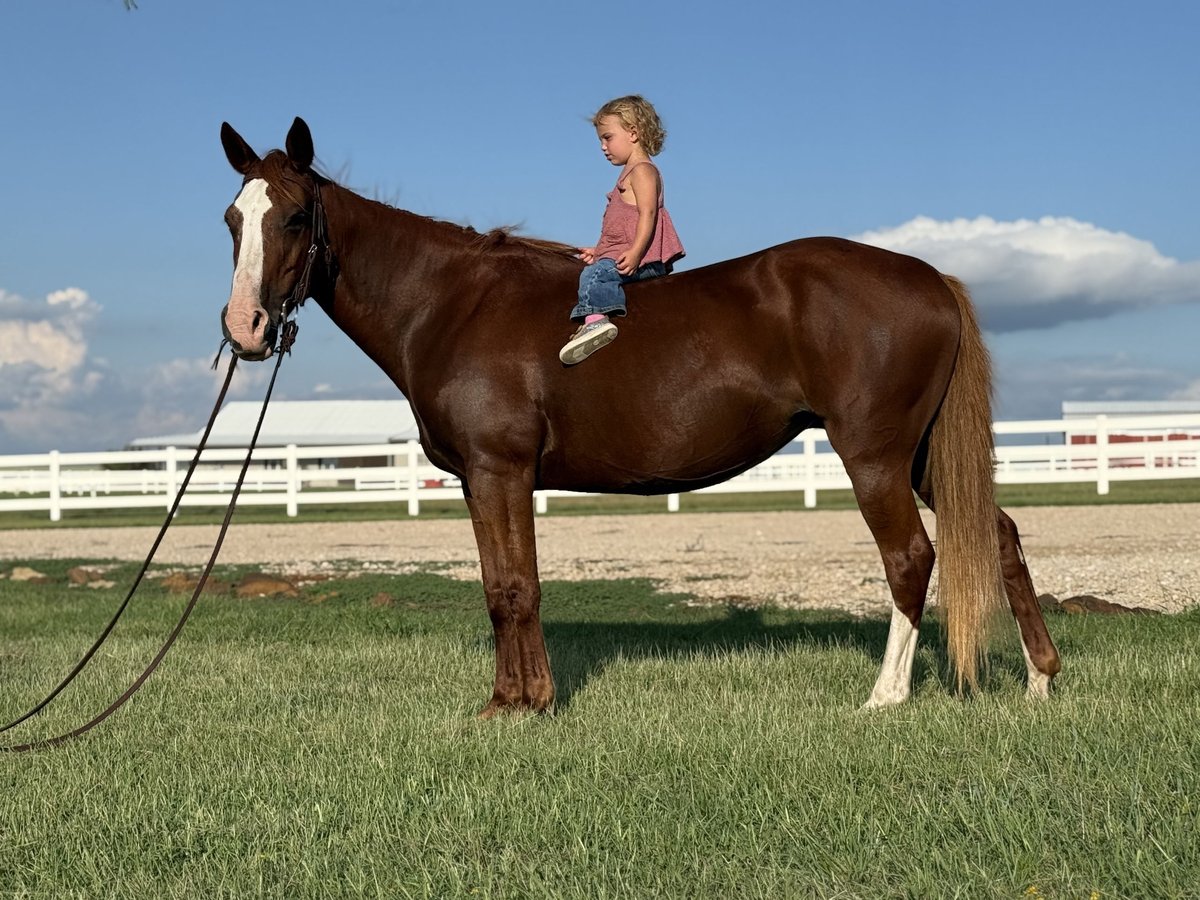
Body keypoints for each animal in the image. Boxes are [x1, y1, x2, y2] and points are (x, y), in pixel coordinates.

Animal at [218, 117, 1060, 716]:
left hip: (874, 454)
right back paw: (1041, 678)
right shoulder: (476, 481)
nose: (246, 329)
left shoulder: (501, 471)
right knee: (999, 536)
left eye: (294, 218)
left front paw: (529, 703)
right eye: (232, 219)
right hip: (921, 457)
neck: (450, 303)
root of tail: (931, 276)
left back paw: (884, 696)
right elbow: (497, 587)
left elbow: (517, 586)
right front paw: (506, 699)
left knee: (910, 558)